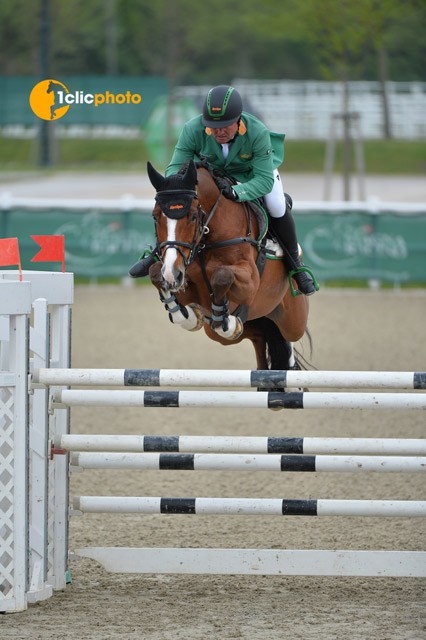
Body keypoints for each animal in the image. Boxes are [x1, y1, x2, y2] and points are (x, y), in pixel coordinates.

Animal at [146, 158, 310, 372]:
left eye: (193, 216)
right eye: (155, 216)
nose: (172, 274)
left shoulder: (250, 283)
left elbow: (222, 275)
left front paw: (224, 316)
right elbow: (155, 273)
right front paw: (190, 315)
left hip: (294, 321)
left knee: (286, 337)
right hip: (238, 329)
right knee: (257, 335)